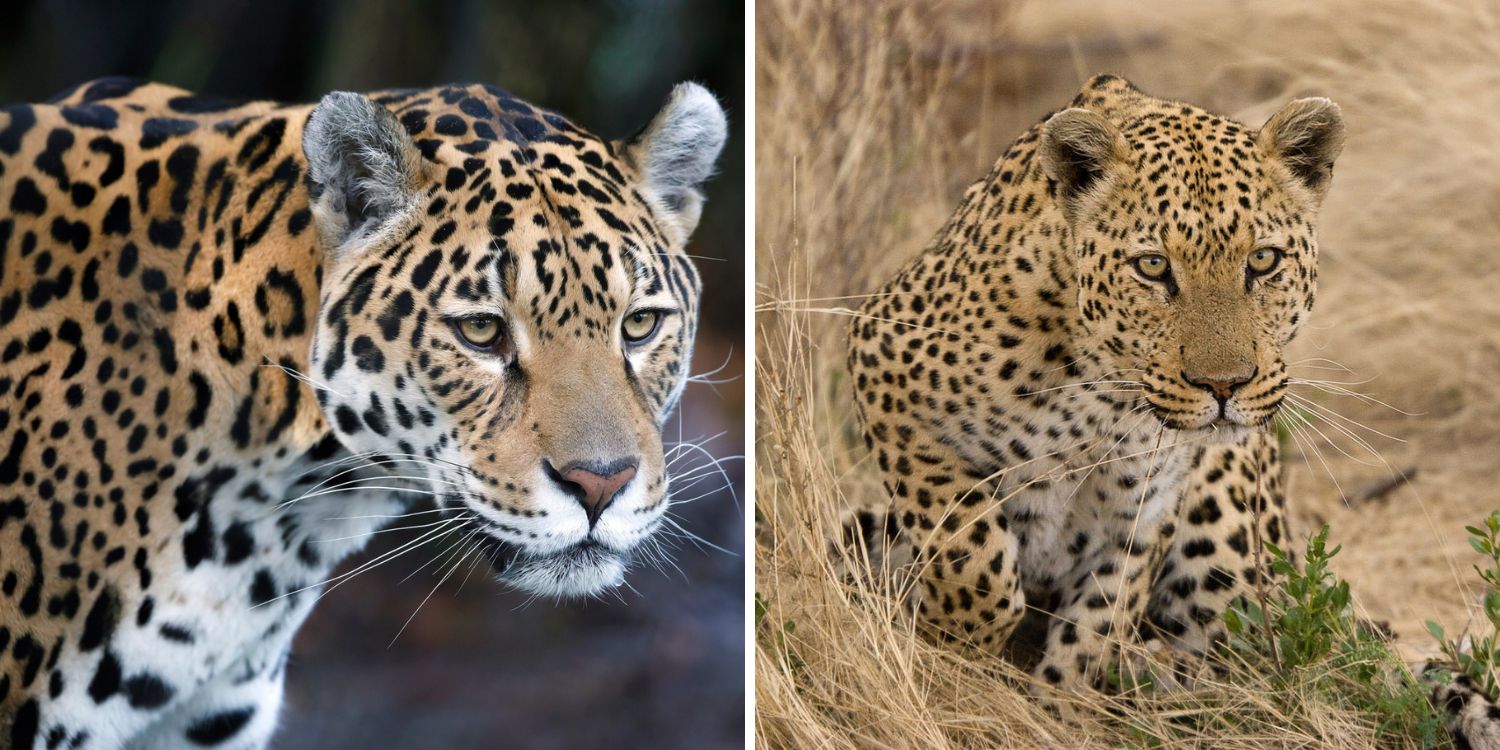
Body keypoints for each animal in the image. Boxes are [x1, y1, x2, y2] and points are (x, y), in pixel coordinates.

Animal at [845, 74, 1344, 710]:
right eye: (1153, 266)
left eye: (1263, 259)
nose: (1225, 384)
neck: (1104, 395)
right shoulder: (884, 367)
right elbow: (970, 549)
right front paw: (951, 655)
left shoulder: (1142, 513)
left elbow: (1098, 625)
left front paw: (1057, 709)